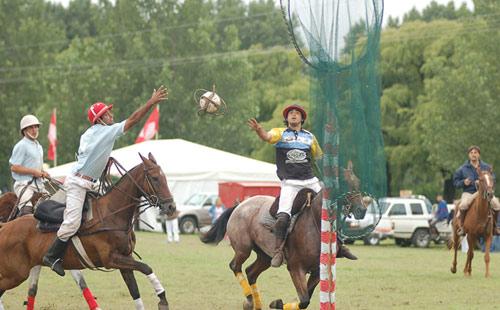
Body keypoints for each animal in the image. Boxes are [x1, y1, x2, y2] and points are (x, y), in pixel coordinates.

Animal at [0, 153, 176, 310]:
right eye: (155, 178)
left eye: (165, 178)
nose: (171, 207)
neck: (112, 214)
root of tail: (5, 227)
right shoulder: (111, 259)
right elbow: (146, 267)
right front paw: (162, 299)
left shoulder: (125, 259)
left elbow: (135, 291)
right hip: (15, 273)